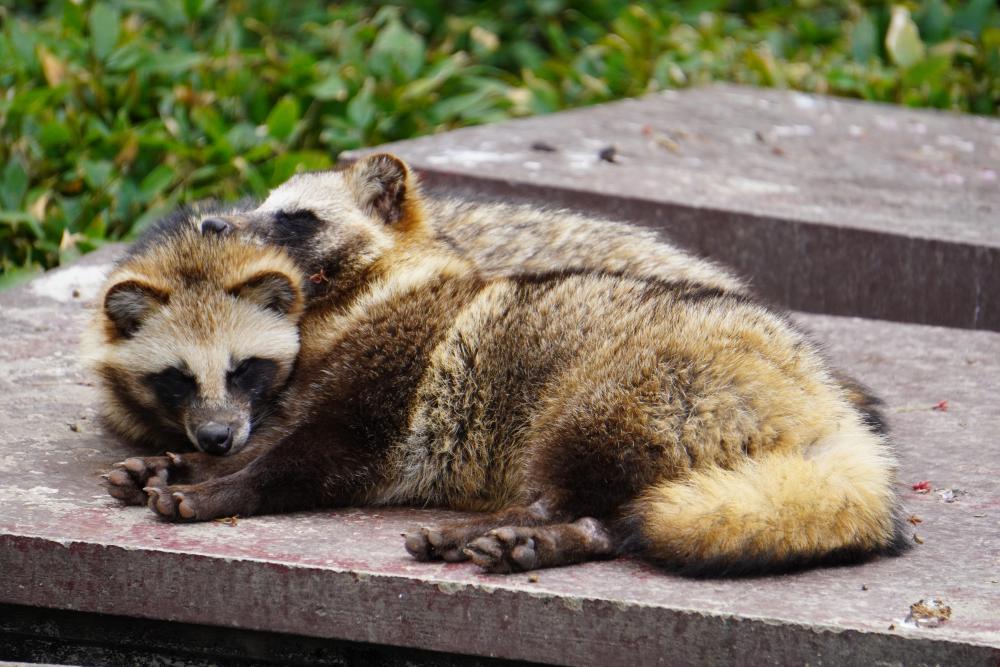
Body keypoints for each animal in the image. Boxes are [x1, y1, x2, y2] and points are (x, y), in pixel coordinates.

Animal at [90, 154, 912, 576]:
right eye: (258, 202)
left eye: (294, 216)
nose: (211, 223)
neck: (343, 311)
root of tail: (826, 408)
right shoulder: (296, 401)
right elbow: (262, 440)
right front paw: (189, 461)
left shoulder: (381, 410)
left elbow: (289, 463)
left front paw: (215, 489)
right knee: (608, 518)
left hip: (615, 396)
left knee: (578, 499)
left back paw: (510, 529)